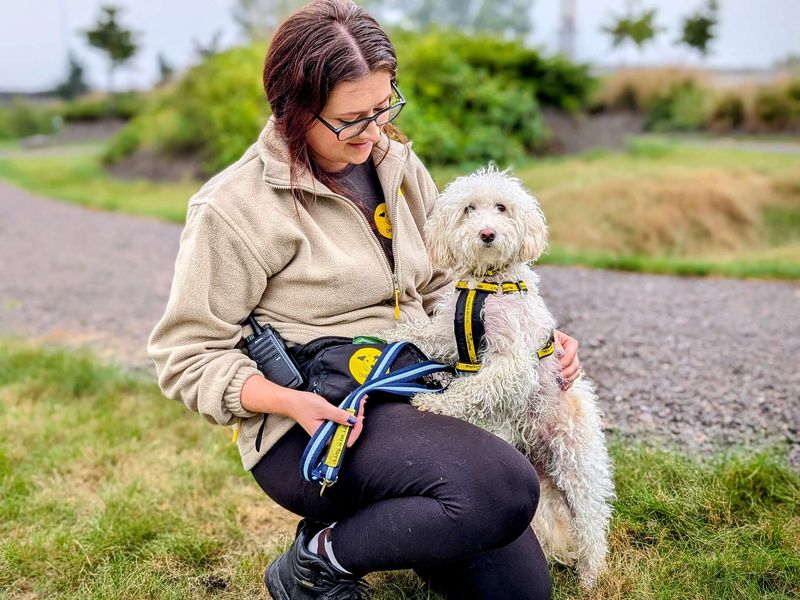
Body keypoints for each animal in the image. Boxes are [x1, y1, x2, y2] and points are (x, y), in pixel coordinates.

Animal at [380, 164, 612, 584]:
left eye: (502, 207)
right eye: (469, 209)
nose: (487, 233)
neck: (485, 285)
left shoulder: (512, 361)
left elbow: (475, 385)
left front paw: (435, 403)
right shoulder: (446, 334)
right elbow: (421, 334)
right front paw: (387, 335)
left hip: (576, 465)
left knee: (591, 525)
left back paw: (590, 577)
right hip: (543, 476)